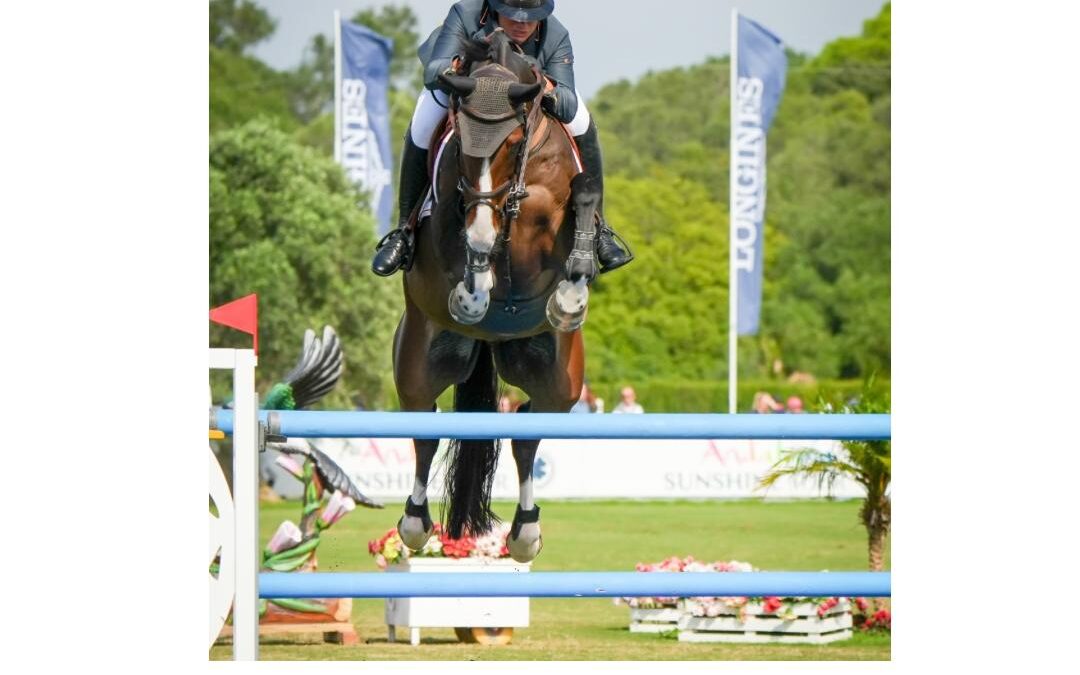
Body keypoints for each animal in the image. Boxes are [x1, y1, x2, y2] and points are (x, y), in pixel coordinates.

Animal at [391, 29, 601, 563]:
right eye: (462, 143)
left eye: (510, 143)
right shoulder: (452, 222)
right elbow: (471, 245)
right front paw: (474, 294)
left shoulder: (557, 205)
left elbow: (583, 199)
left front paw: (570, 298)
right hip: (419, 358)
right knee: (425, 428)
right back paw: (414, 523)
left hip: (560, 379)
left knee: (527, 430)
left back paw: (525, 533)